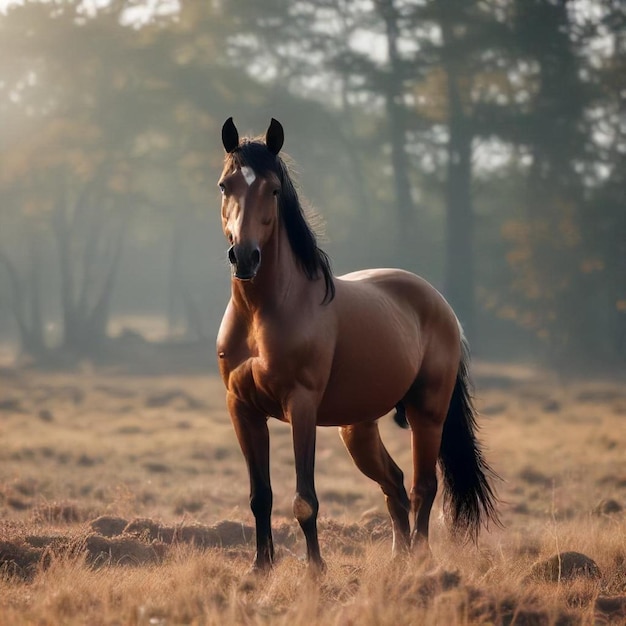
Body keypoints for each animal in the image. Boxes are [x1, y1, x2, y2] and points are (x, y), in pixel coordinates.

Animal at [214, 116, 498, 572]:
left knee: (423, 487)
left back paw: (421, 560)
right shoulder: (242, 409)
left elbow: (304, 499)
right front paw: (260, 569)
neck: (265, 312)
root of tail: (439, 304)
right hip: (358, 429)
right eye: (226, 185)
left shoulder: (301, 407)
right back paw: (399, 560)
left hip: (427, 415)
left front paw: (315, 570)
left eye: (273, 189)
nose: (244, 256)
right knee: (394, 484)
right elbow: (261, 497)